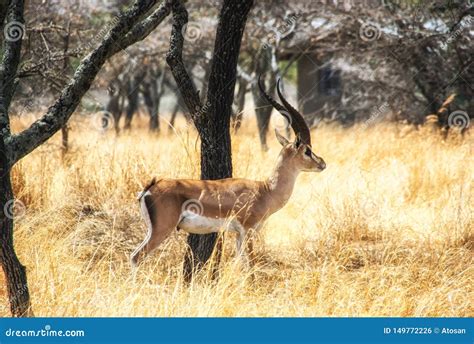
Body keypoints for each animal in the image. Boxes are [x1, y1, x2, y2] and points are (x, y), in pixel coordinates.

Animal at [131, 77, 326, 266]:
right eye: (307, 150)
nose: (322, 163)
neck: (265, 191)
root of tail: (150, 188)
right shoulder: (248, 230)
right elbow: (251, 265)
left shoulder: (238, 234)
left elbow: (239, 264)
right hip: (162, 229)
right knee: (137, 256)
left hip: (152, 230)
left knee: (133, 255)